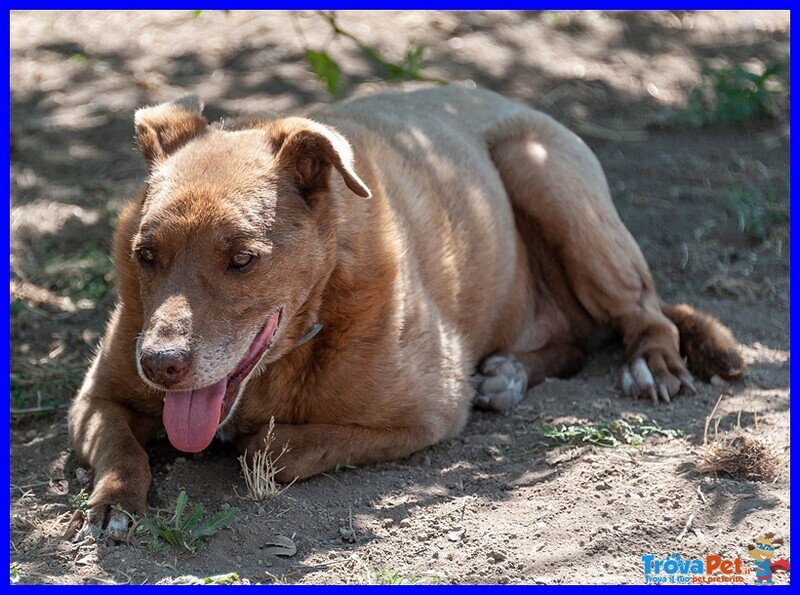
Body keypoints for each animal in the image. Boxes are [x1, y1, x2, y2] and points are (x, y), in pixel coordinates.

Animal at [65, 87, 748, 540]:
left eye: (242, 259)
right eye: (146, 255)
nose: (159, 365)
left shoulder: (429, 412)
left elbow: (271, 448)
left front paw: (249, 441)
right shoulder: (96, 398)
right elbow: (121, 445)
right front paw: (116, 499)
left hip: (542, 171)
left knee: (644, 313)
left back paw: (647, 363)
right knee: (575, 342)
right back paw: (506, 375)